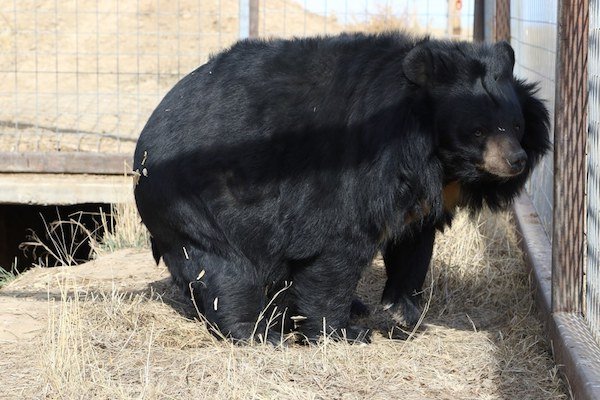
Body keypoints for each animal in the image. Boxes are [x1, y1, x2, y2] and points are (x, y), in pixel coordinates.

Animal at [134, 32, 552, 344]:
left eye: (517, 126)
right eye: (478, 130)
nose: (516, 161)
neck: (435, 156)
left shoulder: (418, 197)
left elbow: (413, 246)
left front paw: (401, 314)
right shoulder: (355, 170)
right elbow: (338, 245)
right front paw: (341, 332)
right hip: (196, 204)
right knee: (226, 270)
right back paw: (257, 332)